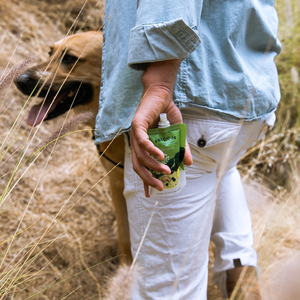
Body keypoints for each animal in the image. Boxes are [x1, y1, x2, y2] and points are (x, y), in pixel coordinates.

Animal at [14, 31, 131, 264]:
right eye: (50, 52)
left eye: (69, 58)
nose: (18, 80)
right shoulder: (117, 183)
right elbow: (126, 237)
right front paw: (127, 268)